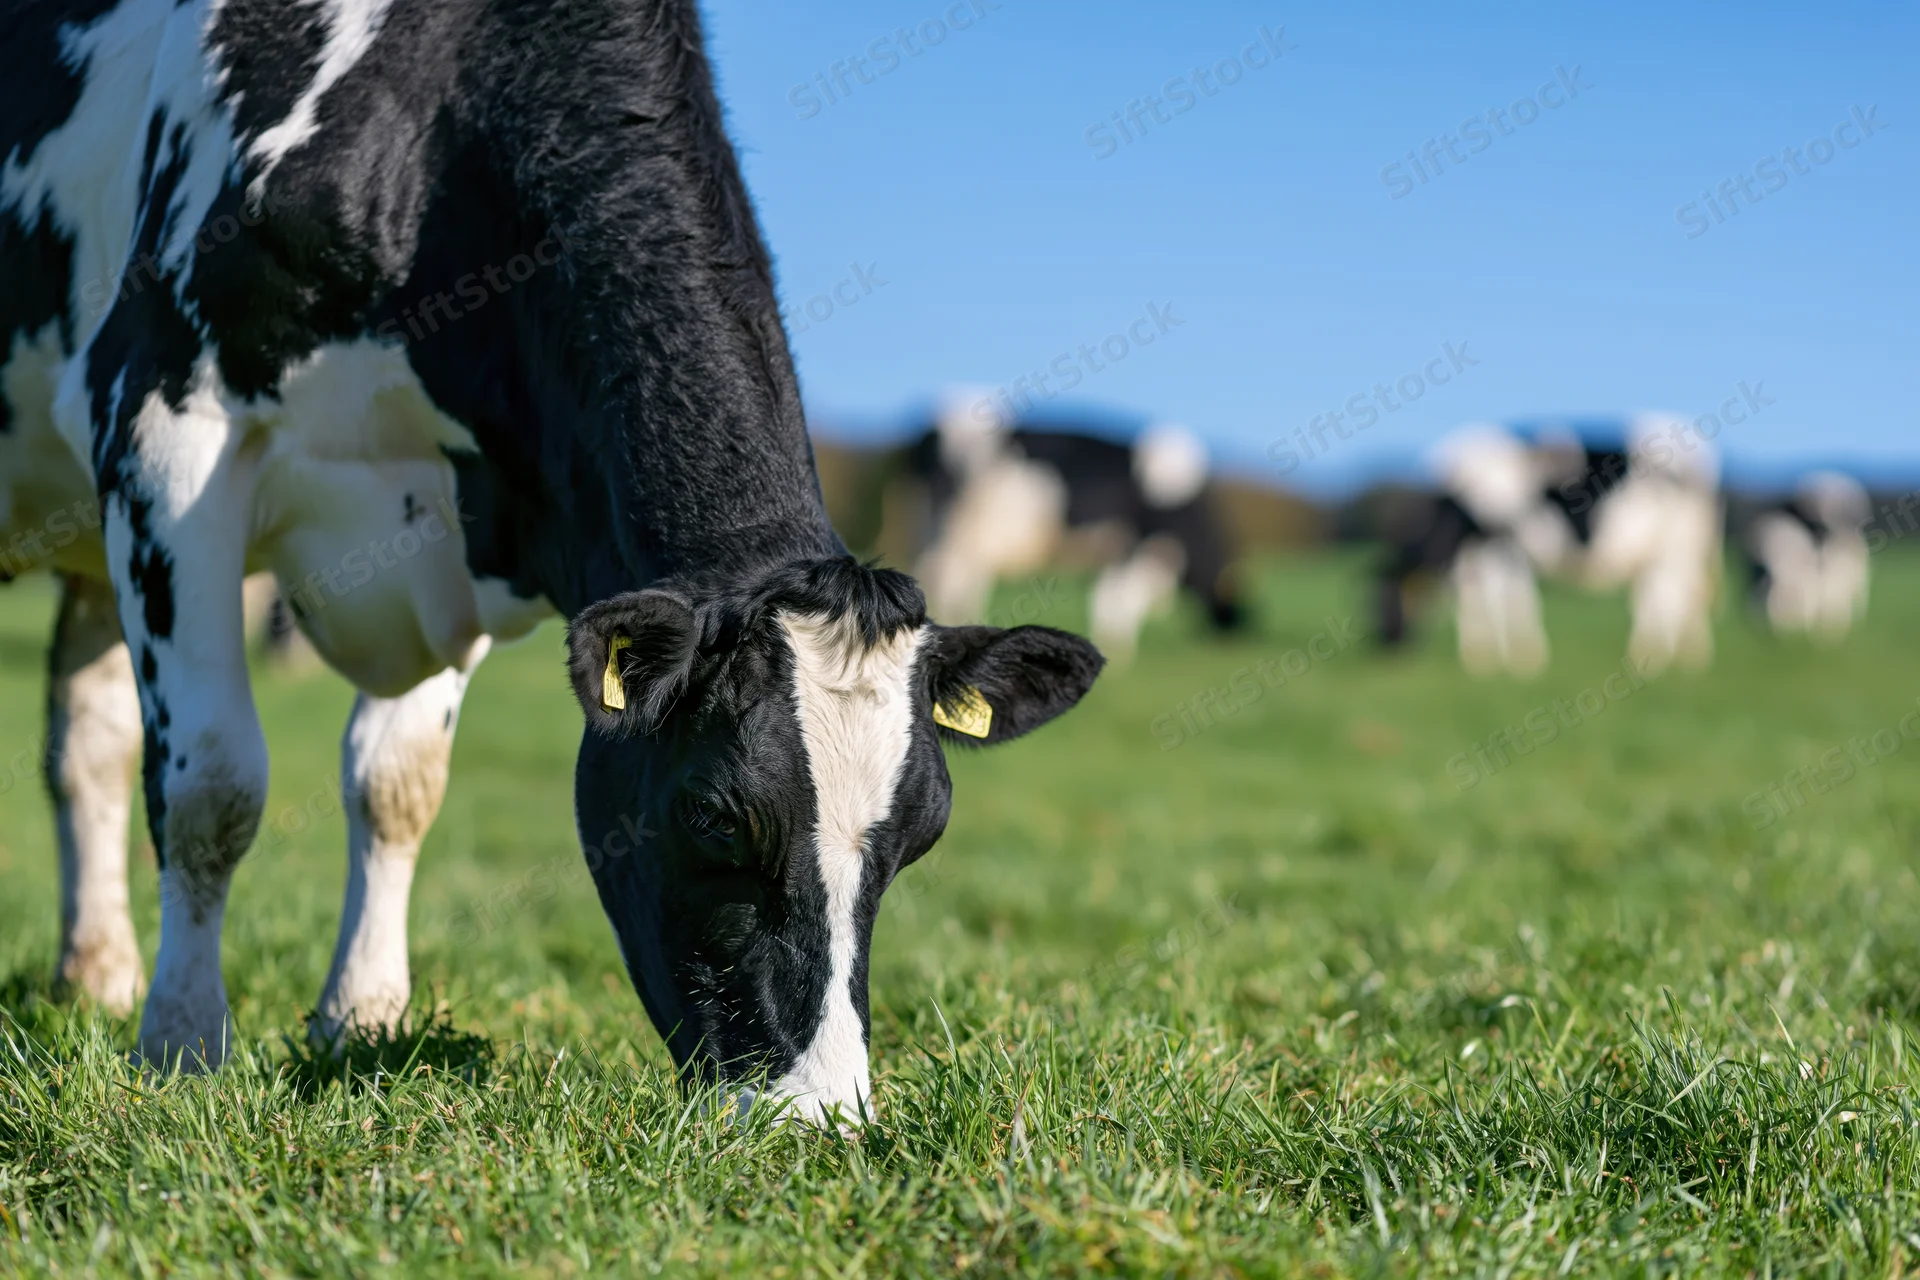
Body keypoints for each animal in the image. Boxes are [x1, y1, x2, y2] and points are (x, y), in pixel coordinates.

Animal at [0, 0, 1102, 1125]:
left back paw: (96, 973)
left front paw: (362, 1021)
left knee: (87, 742)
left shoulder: (466, 522)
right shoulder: (160, 427)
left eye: (924, 831)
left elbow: (399, 782)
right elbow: (212, 787)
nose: (820, 1117)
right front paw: (182, 1047)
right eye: (712, 814)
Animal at [901, 395, 1244, 663]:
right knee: (951, 578)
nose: (1229, 635)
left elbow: (1105, 595)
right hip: (958, 530)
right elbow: (1127, 599)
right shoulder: (1138, 547)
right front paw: (1120, 655)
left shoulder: (1116, 548)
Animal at [1376, 419, 1721, 676]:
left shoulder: (1502, 544)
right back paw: (1687, 660)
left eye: (1386, 601)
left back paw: (1651, 659)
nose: (1384, 650)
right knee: (1675, 596)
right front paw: (1487, 661)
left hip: (1676, 546)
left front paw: (1515, 662)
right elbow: (1489, 598)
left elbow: (1506, 599)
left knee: (1668, 597)